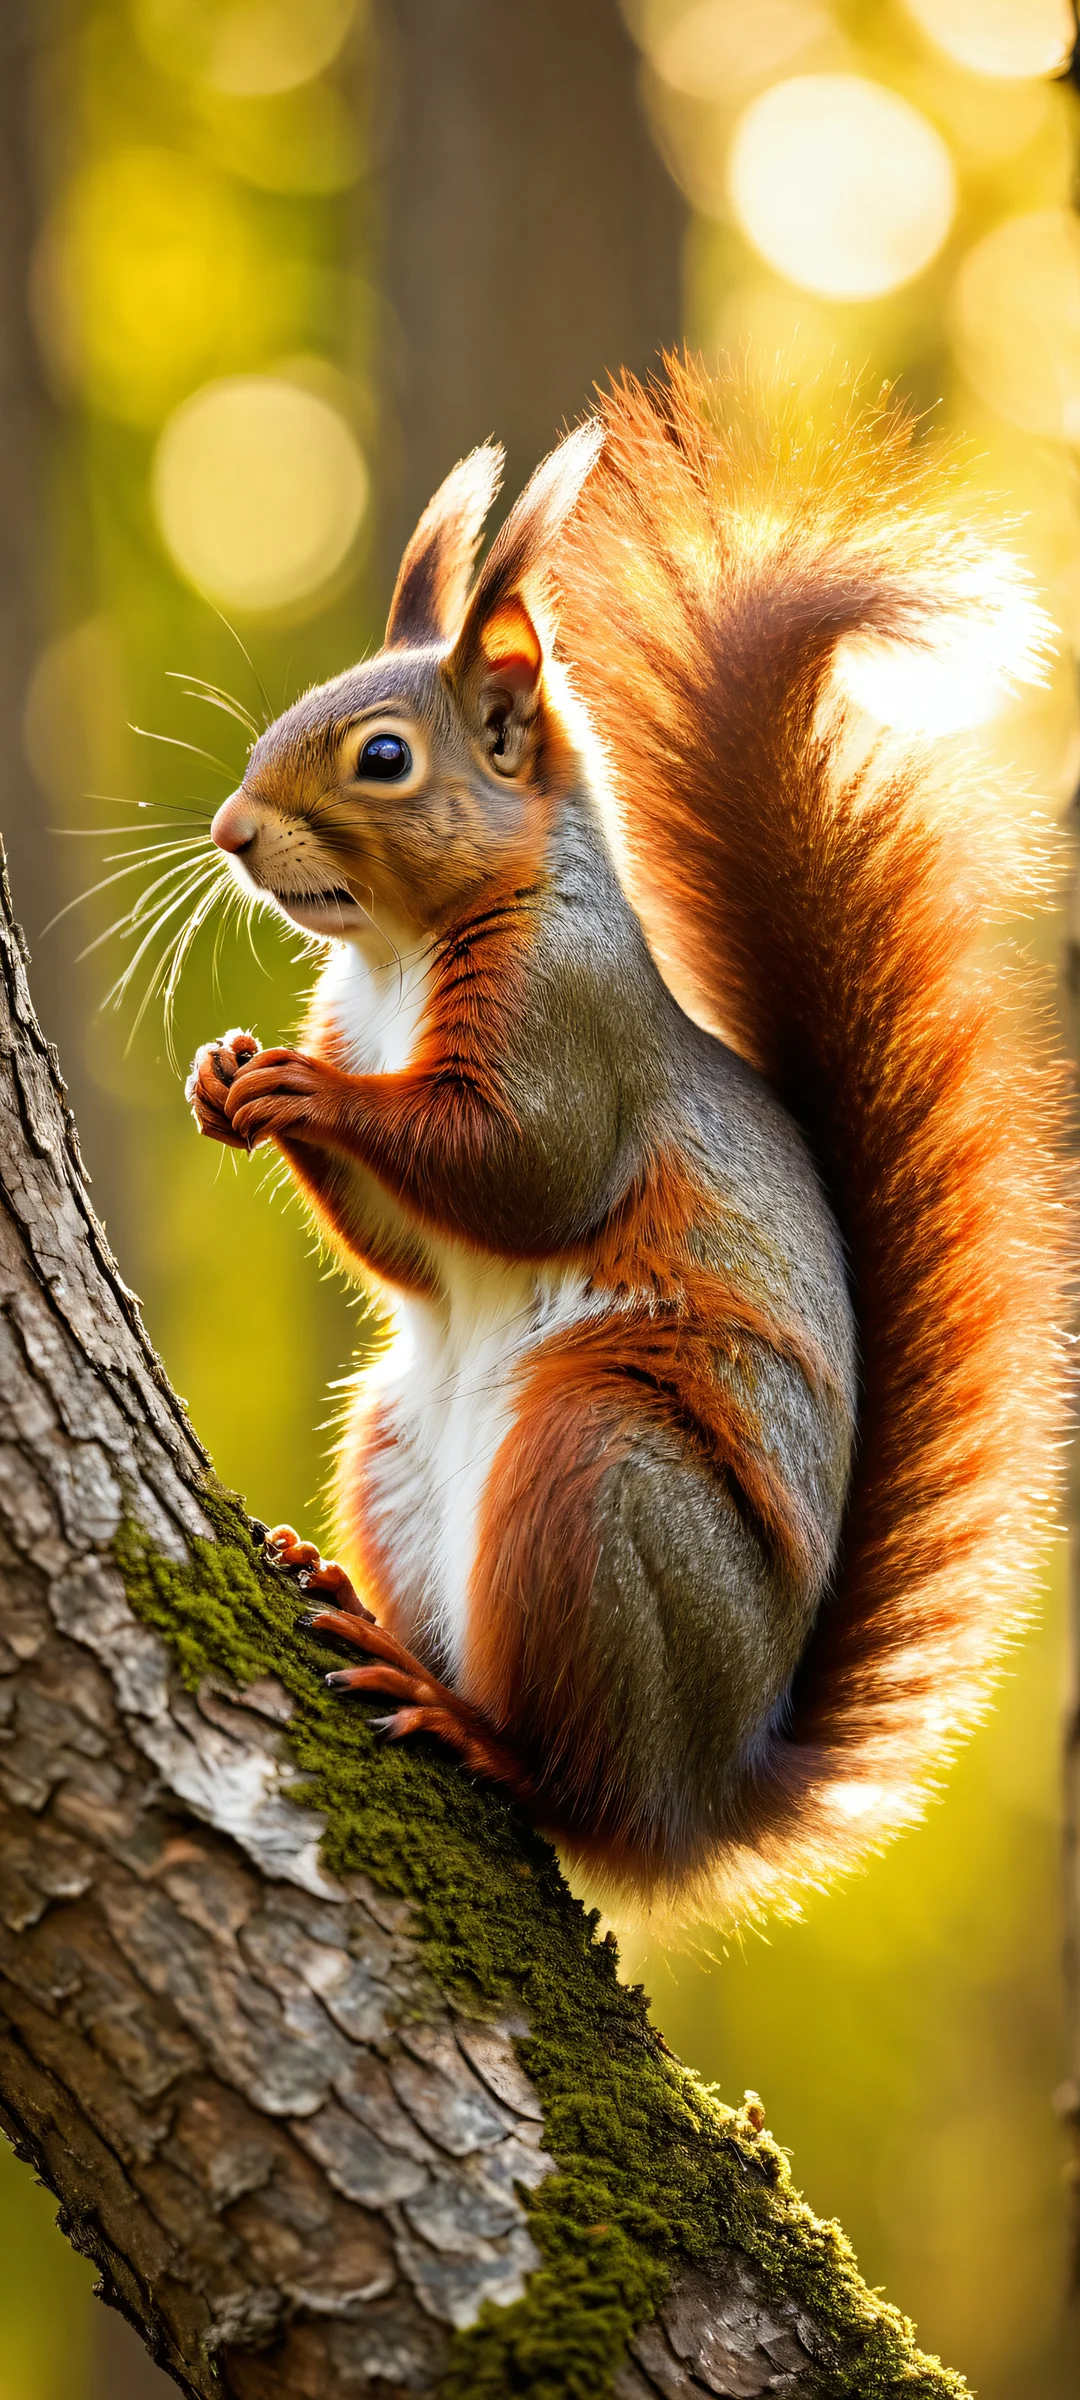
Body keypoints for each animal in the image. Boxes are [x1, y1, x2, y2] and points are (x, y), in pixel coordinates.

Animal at [187, 359, 1070, 1923]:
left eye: (384, 757)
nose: (233, 832)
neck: (399, 954)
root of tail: (702, 1796)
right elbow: (408, 1248)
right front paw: (229, 1075)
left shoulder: (567, 1026)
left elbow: (522, 1172)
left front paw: (298, 1089)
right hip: (397, 1437)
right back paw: (347, 1600)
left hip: (598, 1473)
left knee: (567, 1779)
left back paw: (464, 1719)